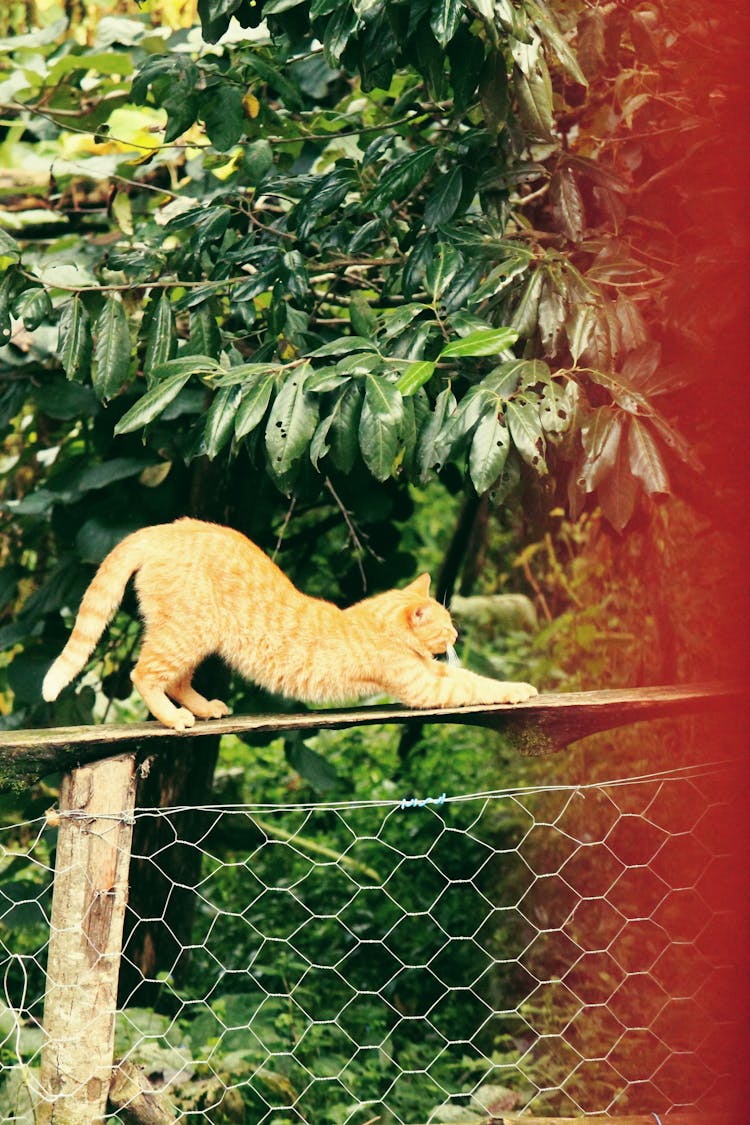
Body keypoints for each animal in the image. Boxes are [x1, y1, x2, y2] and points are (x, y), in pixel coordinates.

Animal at [41, 517, 537, 729]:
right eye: (447, 624)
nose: (456, 635)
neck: (374, 622)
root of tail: (165, 529)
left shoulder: (429, 674)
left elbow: (475, 679)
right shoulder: (424, 684)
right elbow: (476, 685)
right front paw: (520, 689)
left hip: (195, 639)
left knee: (177, 679)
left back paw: (204, 708)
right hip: (183, 634)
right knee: (143, 674)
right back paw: (175, 718)